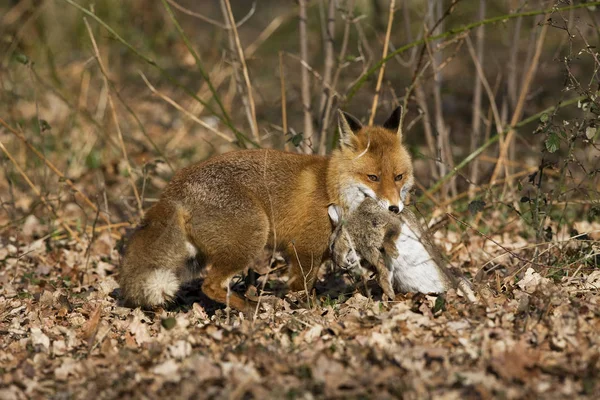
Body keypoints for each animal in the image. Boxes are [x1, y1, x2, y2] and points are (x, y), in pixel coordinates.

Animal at [119, 108, 414, 314]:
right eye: (373, 178)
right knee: (210, 285)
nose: (395, 207)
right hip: (252, 236)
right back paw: (251, 307)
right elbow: (301, 289)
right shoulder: (304, 250)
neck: (330, 188)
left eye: (398, 177)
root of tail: (176, 184)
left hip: (197, 255)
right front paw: (306, 309)